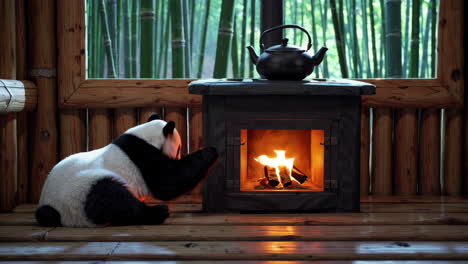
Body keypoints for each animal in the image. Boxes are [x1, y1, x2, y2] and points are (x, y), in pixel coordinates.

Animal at [35, 113, 218, 227]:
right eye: (179, 148)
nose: (178, 156)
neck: (145, 136)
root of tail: (56, 210)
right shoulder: (145, 157)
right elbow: (169, 182)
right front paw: (211, 151)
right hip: (84, 186)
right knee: (112, 198)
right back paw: (157, 211)